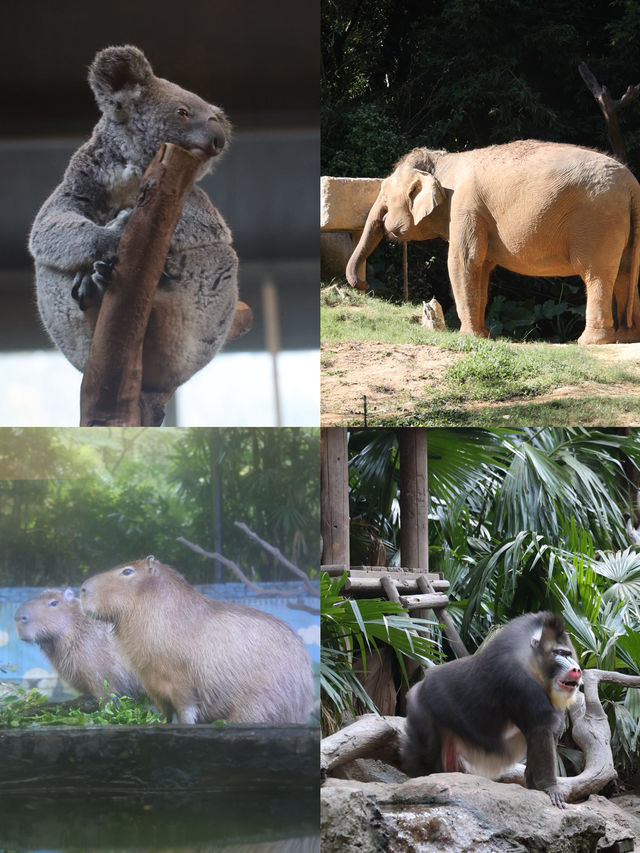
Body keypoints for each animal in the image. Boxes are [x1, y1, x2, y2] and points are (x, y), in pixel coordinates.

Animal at [350, 140, 640, 342]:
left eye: (384, 199)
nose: (364, 285)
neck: (444, 160)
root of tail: (632, 185)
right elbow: (482, 267)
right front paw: (483, 336)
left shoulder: (464, 207)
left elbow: (464, 261)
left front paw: (467, 337)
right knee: (626, 273)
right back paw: (626, 338)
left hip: (597, 221)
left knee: (597, 273)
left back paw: (591, 342)